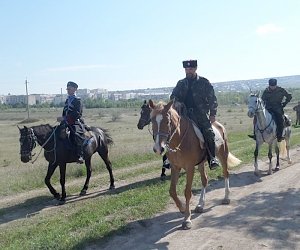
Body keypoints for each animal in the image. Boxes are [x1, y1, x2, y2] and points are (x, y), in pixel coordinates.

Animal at [150, 99, 241, 229]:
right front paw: (182, 208)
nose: (158, 148)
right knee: (205, 180)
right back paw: (200, 205)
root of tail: (219, 125)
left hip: (223, 155)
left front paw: (187, 219)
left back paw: (226, 198)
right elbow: (172, 191)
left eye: (167, 121)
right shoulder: (175, 167)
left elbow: (187, 192)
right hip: (201, 163)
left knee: (226, 173)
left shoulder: (190, 168)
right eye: (152, 120)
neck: (180, 139)